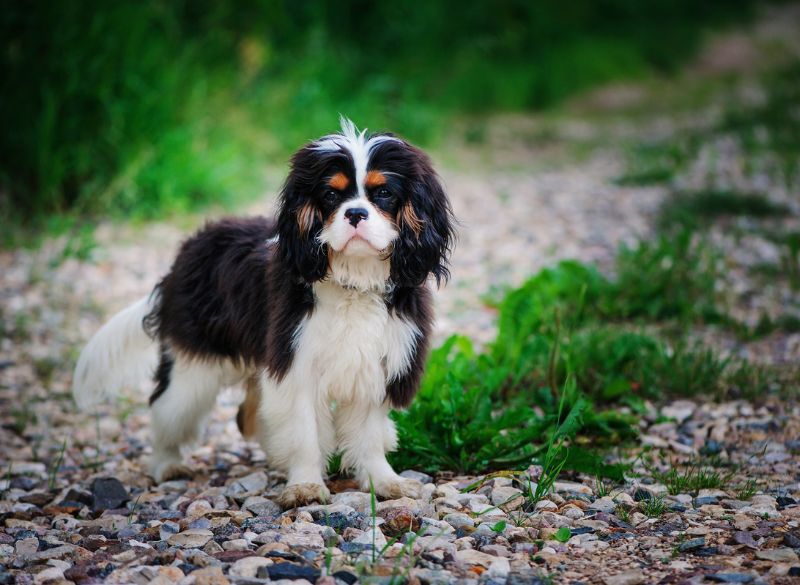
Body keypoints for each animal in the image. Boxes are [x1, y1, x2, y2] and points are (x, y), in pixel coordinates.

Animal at [73, 117, 456, 506]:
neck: (354, 279)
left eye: (384, 193)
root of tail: (184, 255)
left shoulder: (376, 366)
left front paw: (383, 481)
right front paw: (305, 485)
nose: (355, 213)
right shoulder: (296, 365)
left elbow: (369, 435)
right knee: (166, 409)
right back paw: (168, 465)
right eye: (331, 195)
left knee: (250, 414)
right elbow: (304, 431)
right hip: (191, 373)